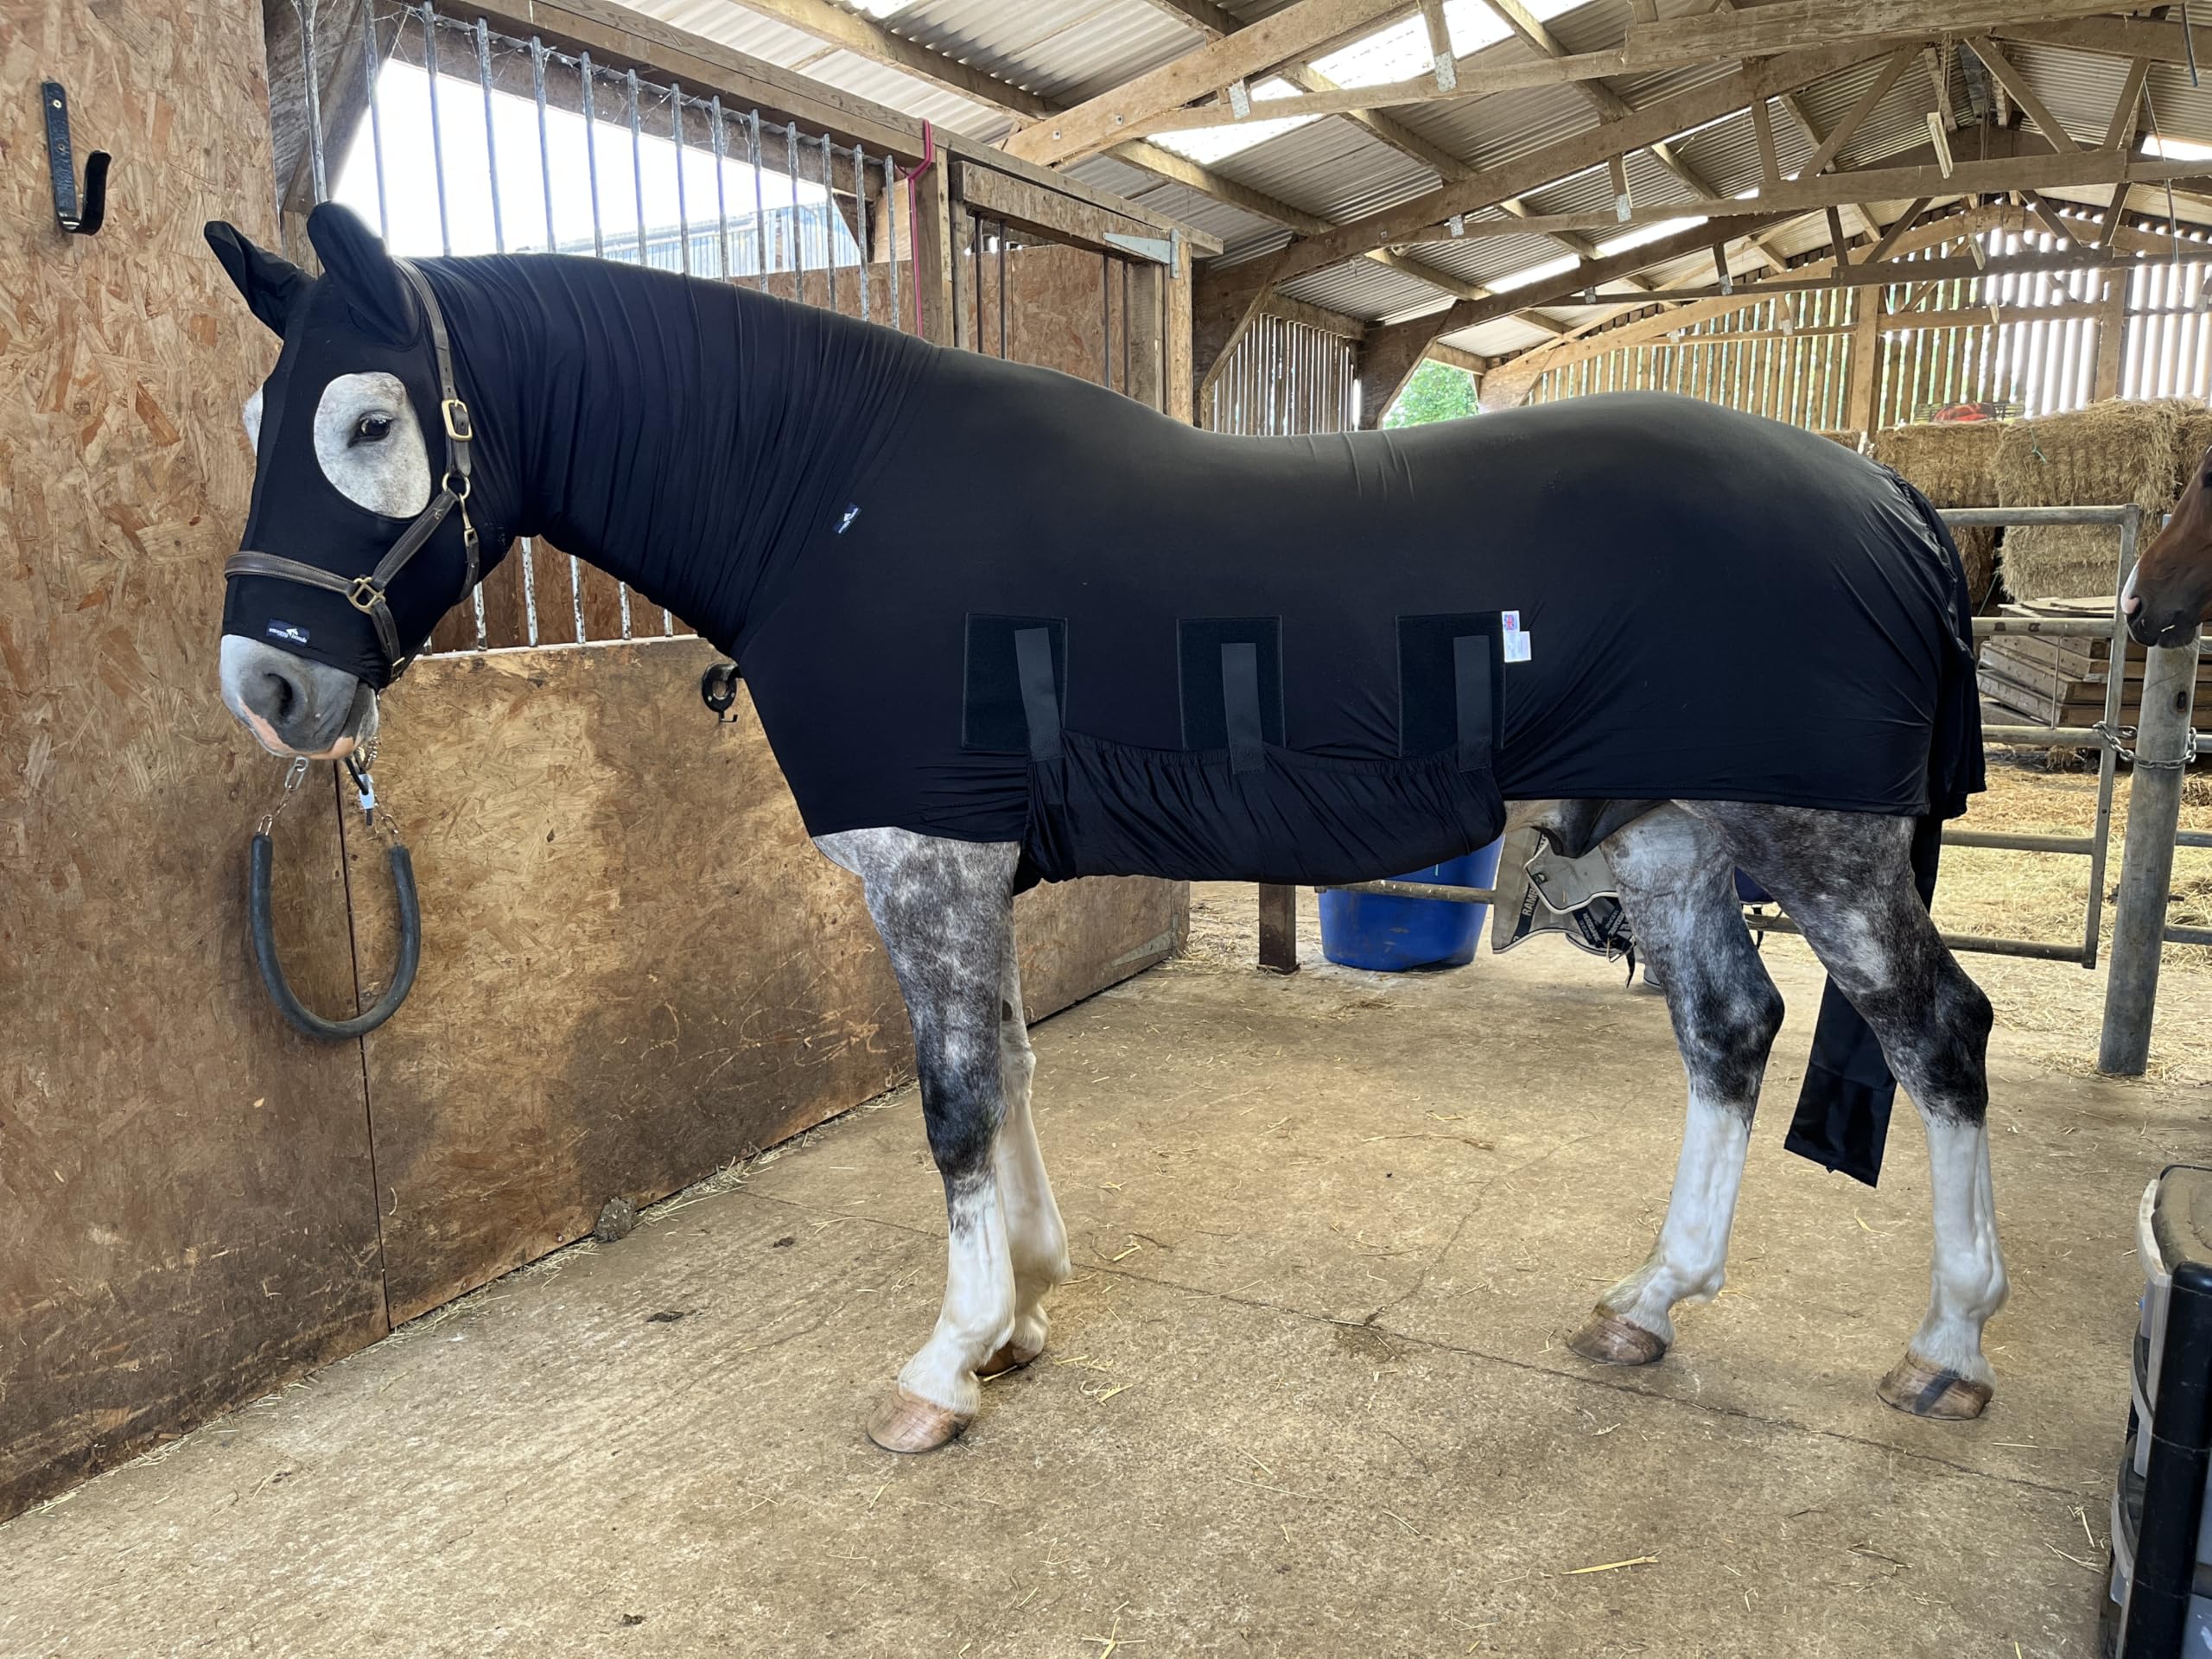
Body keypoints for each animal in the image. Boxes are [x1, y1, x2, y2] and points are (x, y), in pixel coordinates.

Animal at [205, 203, 2006, 1454]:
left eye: (369, 422)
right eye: (257, 420)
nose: (268, 686)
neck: (827, 494)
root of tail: (1885, 496)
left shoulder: (925, 865)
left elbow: (950, 1105)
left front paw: (944, 1368)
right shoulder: (969, 873)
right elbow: (1005, 1071)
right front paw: (1019, 1319)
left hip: (1819, 844)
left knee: (1938, 1035)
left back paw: (1949, 1349)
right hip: (1678, 839)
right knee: (1732, 1030)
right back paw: (1650, 1305)